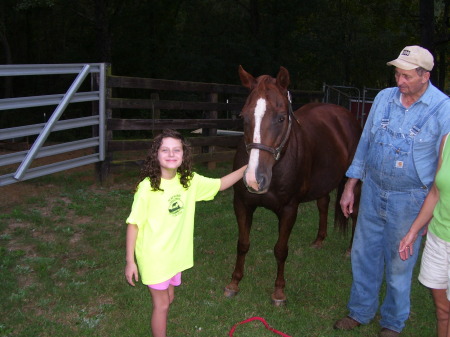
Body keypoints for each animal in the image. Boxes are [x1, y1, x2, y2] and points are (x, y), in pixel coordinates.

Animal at [225, 65, 362, 304]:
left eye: (281, 118)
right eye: (243, 116)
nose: (254, 179)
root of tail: (345, 115)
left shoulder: (289, 210)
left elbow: (281, 250)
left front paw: (279, 291)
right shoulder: (242, 204)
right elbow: (242, 244)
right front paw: (234, 283)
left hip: (352, 182)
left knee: (353, 212)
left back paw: (350, 250)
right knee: (323, 204)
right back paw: (319, 240)